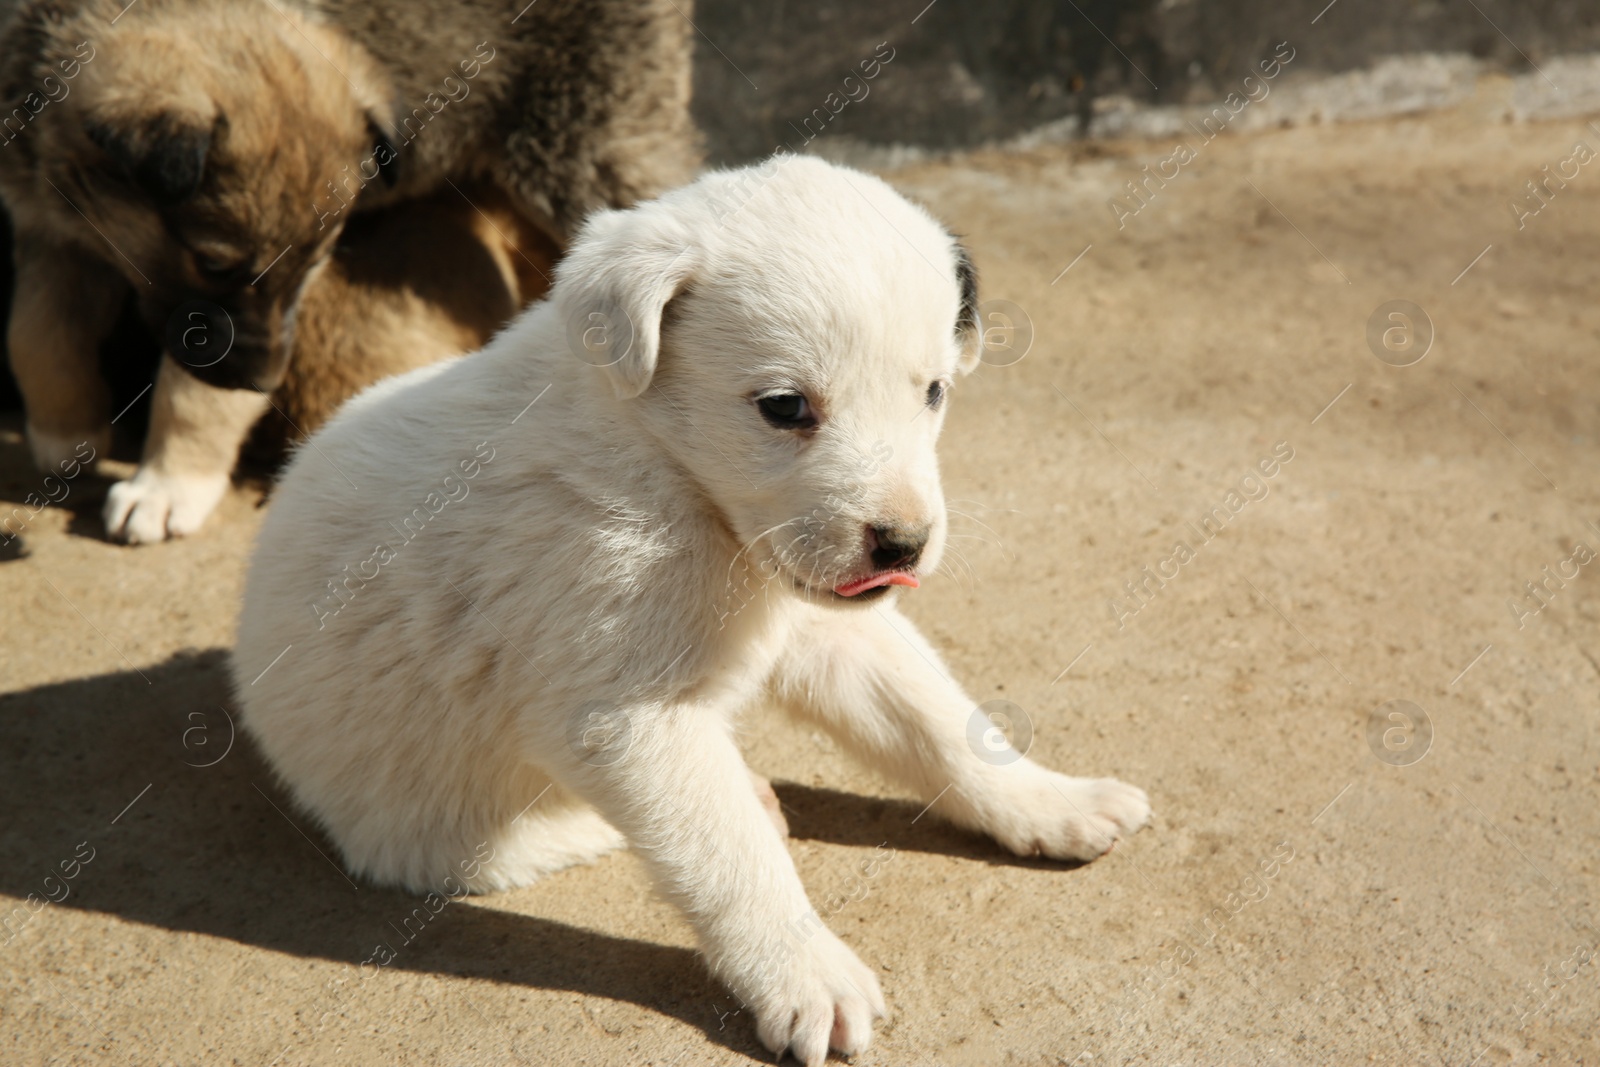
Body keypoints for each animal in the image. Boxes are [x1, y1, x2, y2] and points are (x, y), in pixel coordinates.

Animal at [0, 0, 697, 543]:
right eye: (214, 262)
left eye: (314, 261)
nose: (264, 381)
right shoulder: (60, 234)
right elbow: (37, 334)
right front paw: (64, 429)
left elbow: (195, 392)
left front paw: (169, 482)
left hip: (586, 147)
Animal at [232, 154, 1152, 1062]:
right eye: (784, 407)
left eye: (933, 392)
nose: (903, 545)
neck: (668, 469)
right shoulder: (625, 714)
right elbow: (731, 858)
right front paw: (808, 975)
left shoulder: (825, 630)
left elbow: (941, 725)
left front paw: (1051, 802)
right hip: (435, 825)